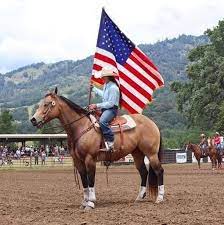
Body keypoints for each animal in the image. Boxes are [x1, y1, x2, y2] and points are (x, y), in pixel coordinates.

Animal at [30, 88, 164, 209]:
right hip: (137, 154)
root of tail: (152, 123)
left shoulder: (90, 159)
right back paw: (139, 198)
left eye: (47, 104)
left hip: (151, 153)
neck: (81, 127)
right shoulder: (78, 161)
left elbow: (91, 179)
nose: (33, 119)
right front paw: (84, 201)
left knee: (159, 171)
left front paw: (91, 202)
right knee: (143, 172)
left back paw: (160, 198)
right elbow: (84, 180)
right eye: (40, 104)